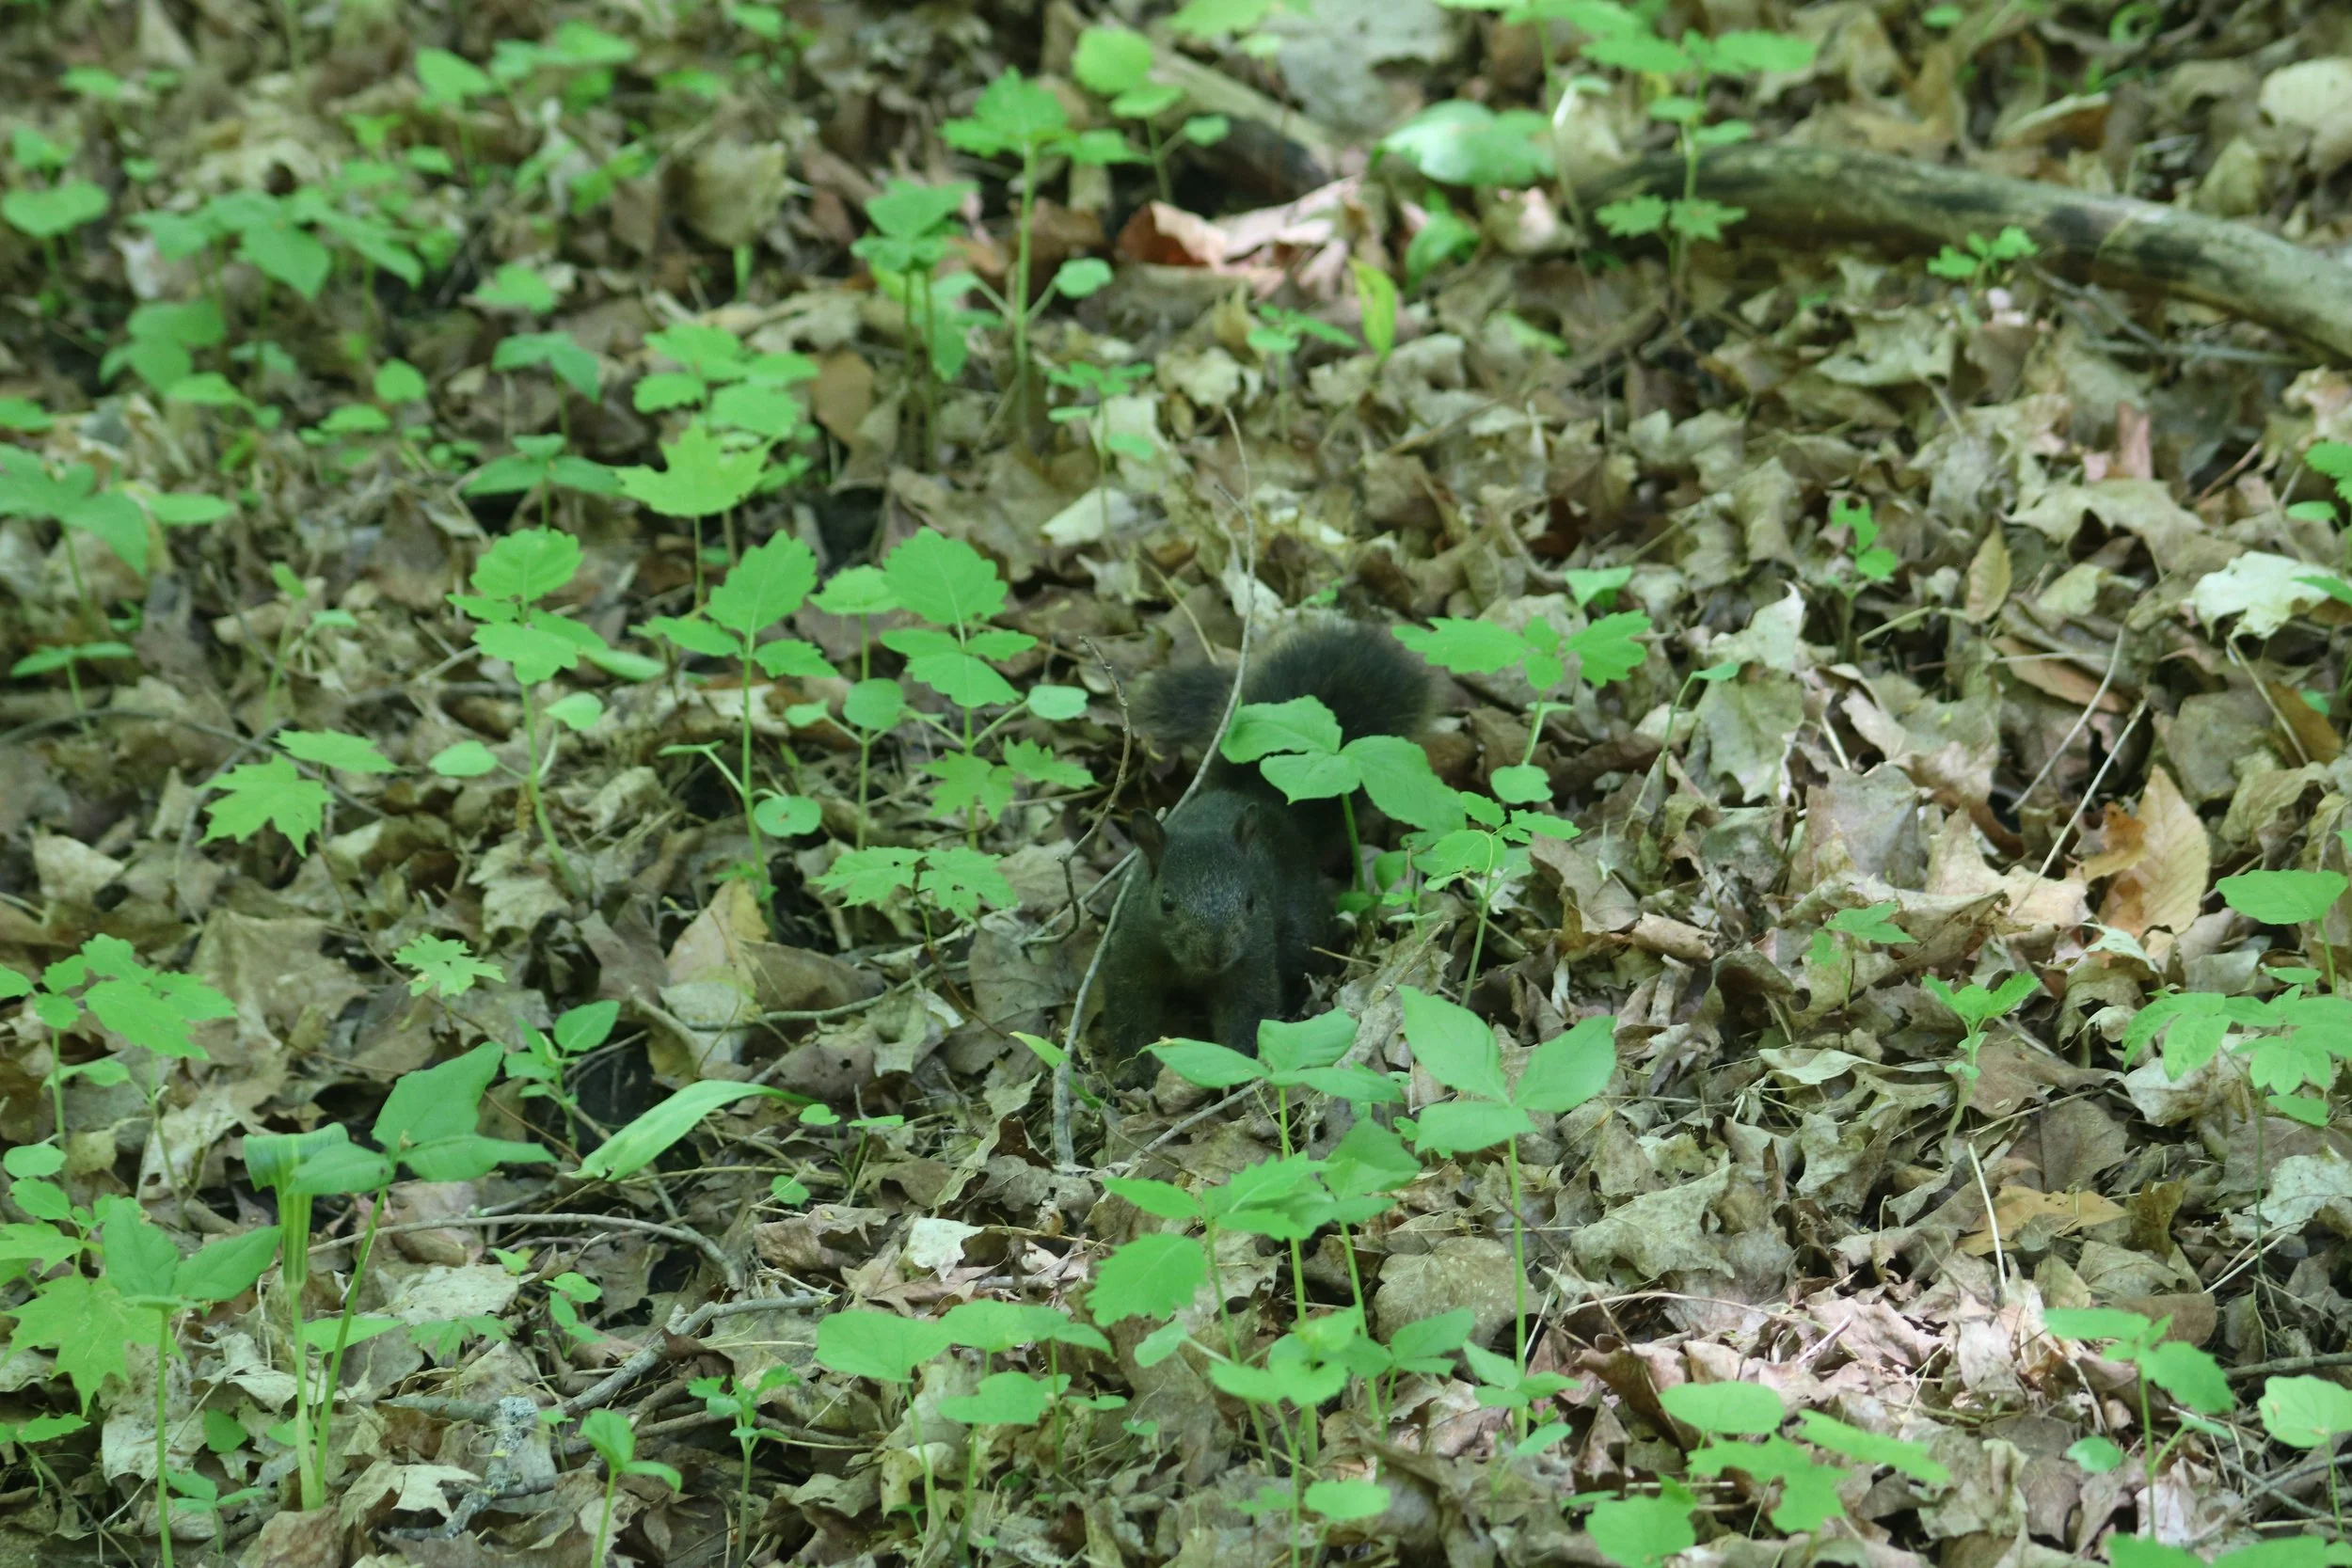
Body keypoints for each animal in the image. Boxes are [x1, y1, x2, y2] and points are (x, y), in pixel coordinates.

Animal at [1100, 621, 1434, 1078]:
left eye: (1250, 901)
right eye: (1166, 902)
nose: (1216, 954)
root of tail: (1271, 805)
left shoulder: (1252, 960)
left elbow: (1247, 1012)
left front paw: (1238, 1071)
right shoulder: (1133, 952)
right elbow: (1127, 1009)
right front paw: (1130, 1070)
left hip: (1298, 933)